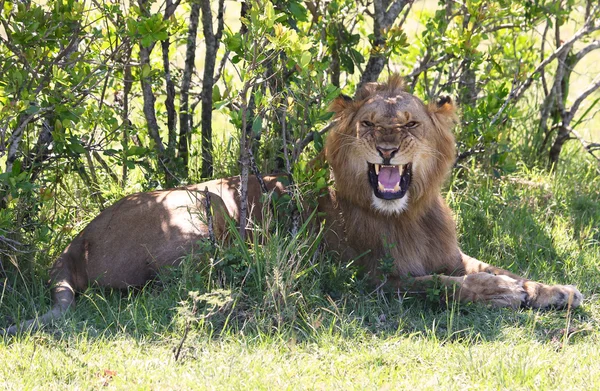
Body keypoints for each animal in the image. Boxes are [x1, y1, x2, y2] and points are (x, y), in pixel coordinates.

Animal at [1, 75, 580, 336]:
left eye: (409, 124)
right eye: (369, 124)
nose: (386, 150)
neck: (407, 215)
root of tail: (77, 239)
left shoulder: (449, 253)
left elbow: (500, 267)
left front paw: (557, 290)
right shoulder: (371, 279)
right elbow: (439, 285)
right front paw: (501, 294)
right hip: (198, 211)